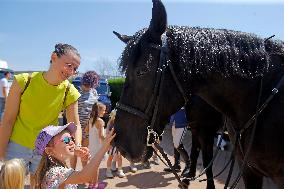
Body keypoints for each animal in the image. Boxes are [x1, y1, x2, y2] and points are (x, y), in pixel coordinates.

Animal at [113, 0, 284, 188]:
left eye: (141, 71)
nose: (121, 145)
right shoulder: (246, 168)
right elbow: (196, 152)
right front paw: (188, 175)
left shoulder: (206, 131)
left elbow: (206, 158)